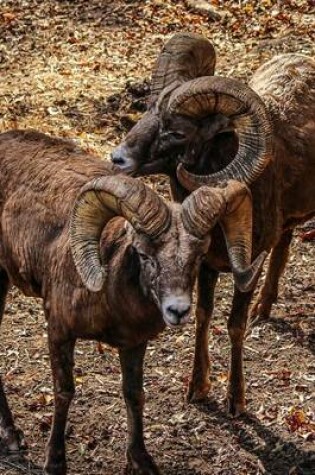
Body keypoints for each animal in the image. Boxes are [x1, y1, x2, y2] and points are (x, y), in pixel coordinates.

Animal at [0, 128, 264, 474]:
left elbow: (134, 395)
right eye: (144, 254)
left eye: (197, 257)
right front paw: (55, 461)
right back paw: (12, 437)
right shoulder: (59, 332)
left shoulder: (134, 344)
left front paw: (141, 459)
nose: (177, 310)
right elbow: (64, 392)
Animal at [111, 32, 315, 412]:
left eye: (177, 132)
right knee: (284, 247)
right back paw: (264, 309)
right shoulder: (205, 266)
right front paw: (198, 388)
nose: (118, 159)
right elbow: (203, 318)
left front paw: (235, 400)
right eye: (146, 110)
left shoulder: (246, 268)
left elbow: (234, 326)